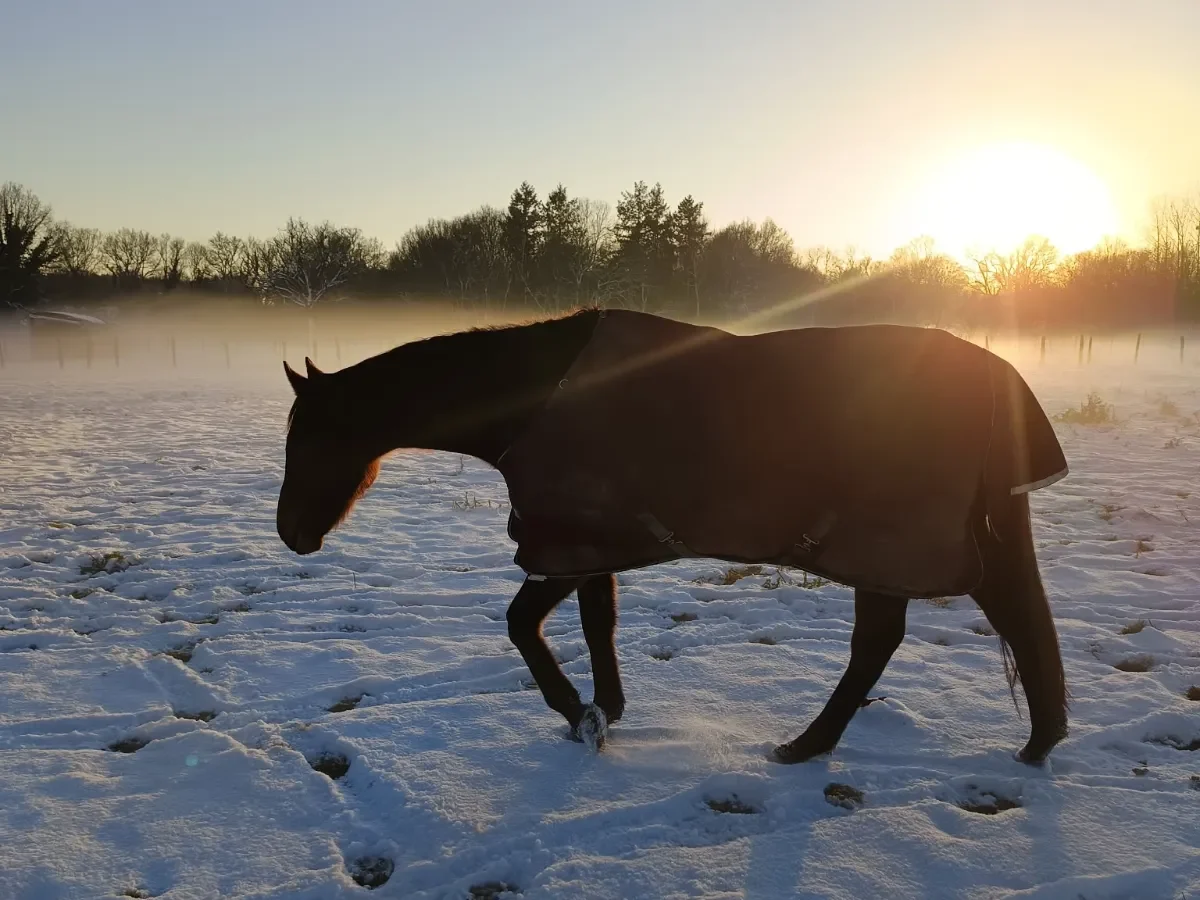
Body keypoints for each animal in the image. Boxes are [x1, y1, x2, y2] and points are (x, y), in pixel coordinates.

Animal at [275, 306, 1070, 765]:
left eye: (310, 439)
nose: (289, 533)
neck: (537, 397)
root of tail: (993, 372)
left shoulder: (560, 546)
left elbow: (522, 625)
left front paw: (579, 714)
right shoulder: (588, 539)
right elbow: (598, 621)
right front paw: (604, 707)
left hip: (887, 544)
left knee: (885, 642)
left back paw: (807, 746)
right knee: (1004, 619)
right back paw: (1037, 741)